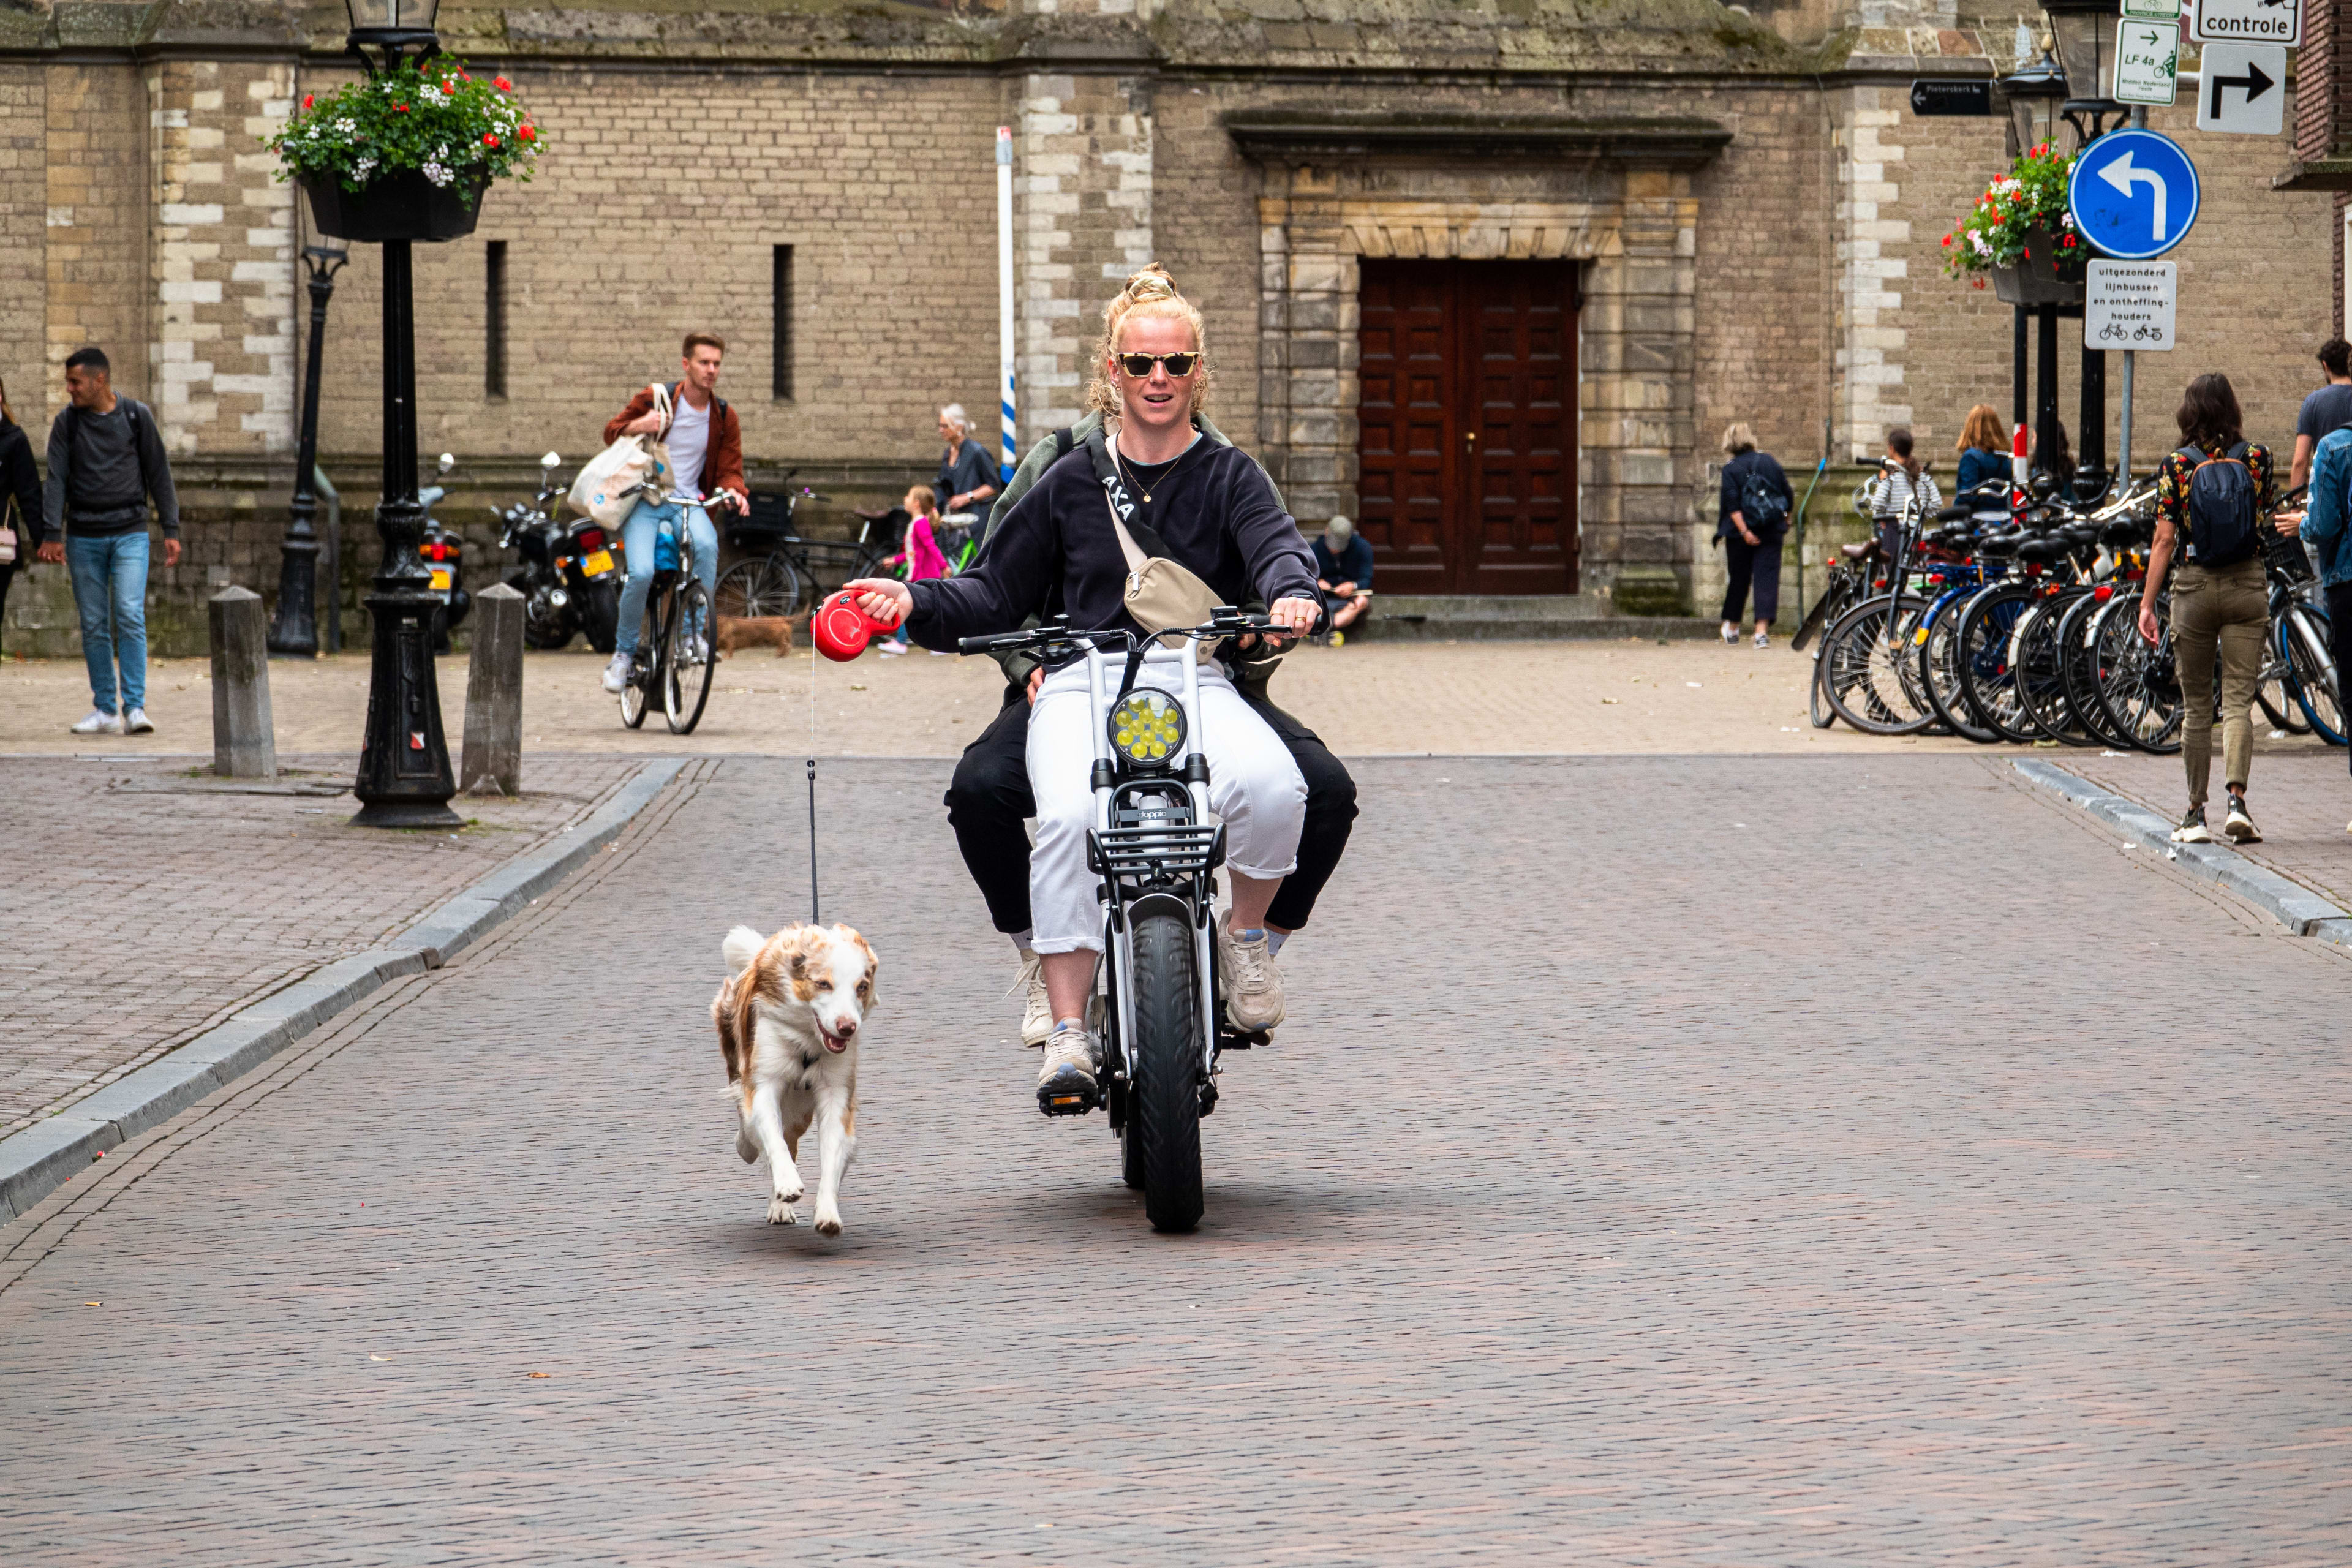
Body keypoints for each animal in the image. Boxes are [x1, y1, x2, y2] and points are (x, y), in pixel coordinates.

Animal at [706, 616, 799, 658]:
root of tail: (783, 619)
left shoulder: (730, 641)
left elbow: (729, 649)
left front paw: (726, 657)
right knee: (787, 645)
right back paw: (782, 654)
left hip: (776, 637)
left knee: (784, 644)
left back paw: (779, 654)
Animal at [710, 921, 880, 1241]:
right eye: (823, 984)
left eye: (861, 987)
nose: (847, 1027)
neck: (808, 1040)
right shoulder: (765, 1080)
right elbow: (772, 1138)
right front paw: (788, 1183)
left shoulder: (835, 1091)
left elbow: (831, 1155)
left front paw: (827, 1214)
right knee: (752, 1128)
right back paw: (749, 1151)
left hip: (799, 1109)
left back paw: (780, 1207)